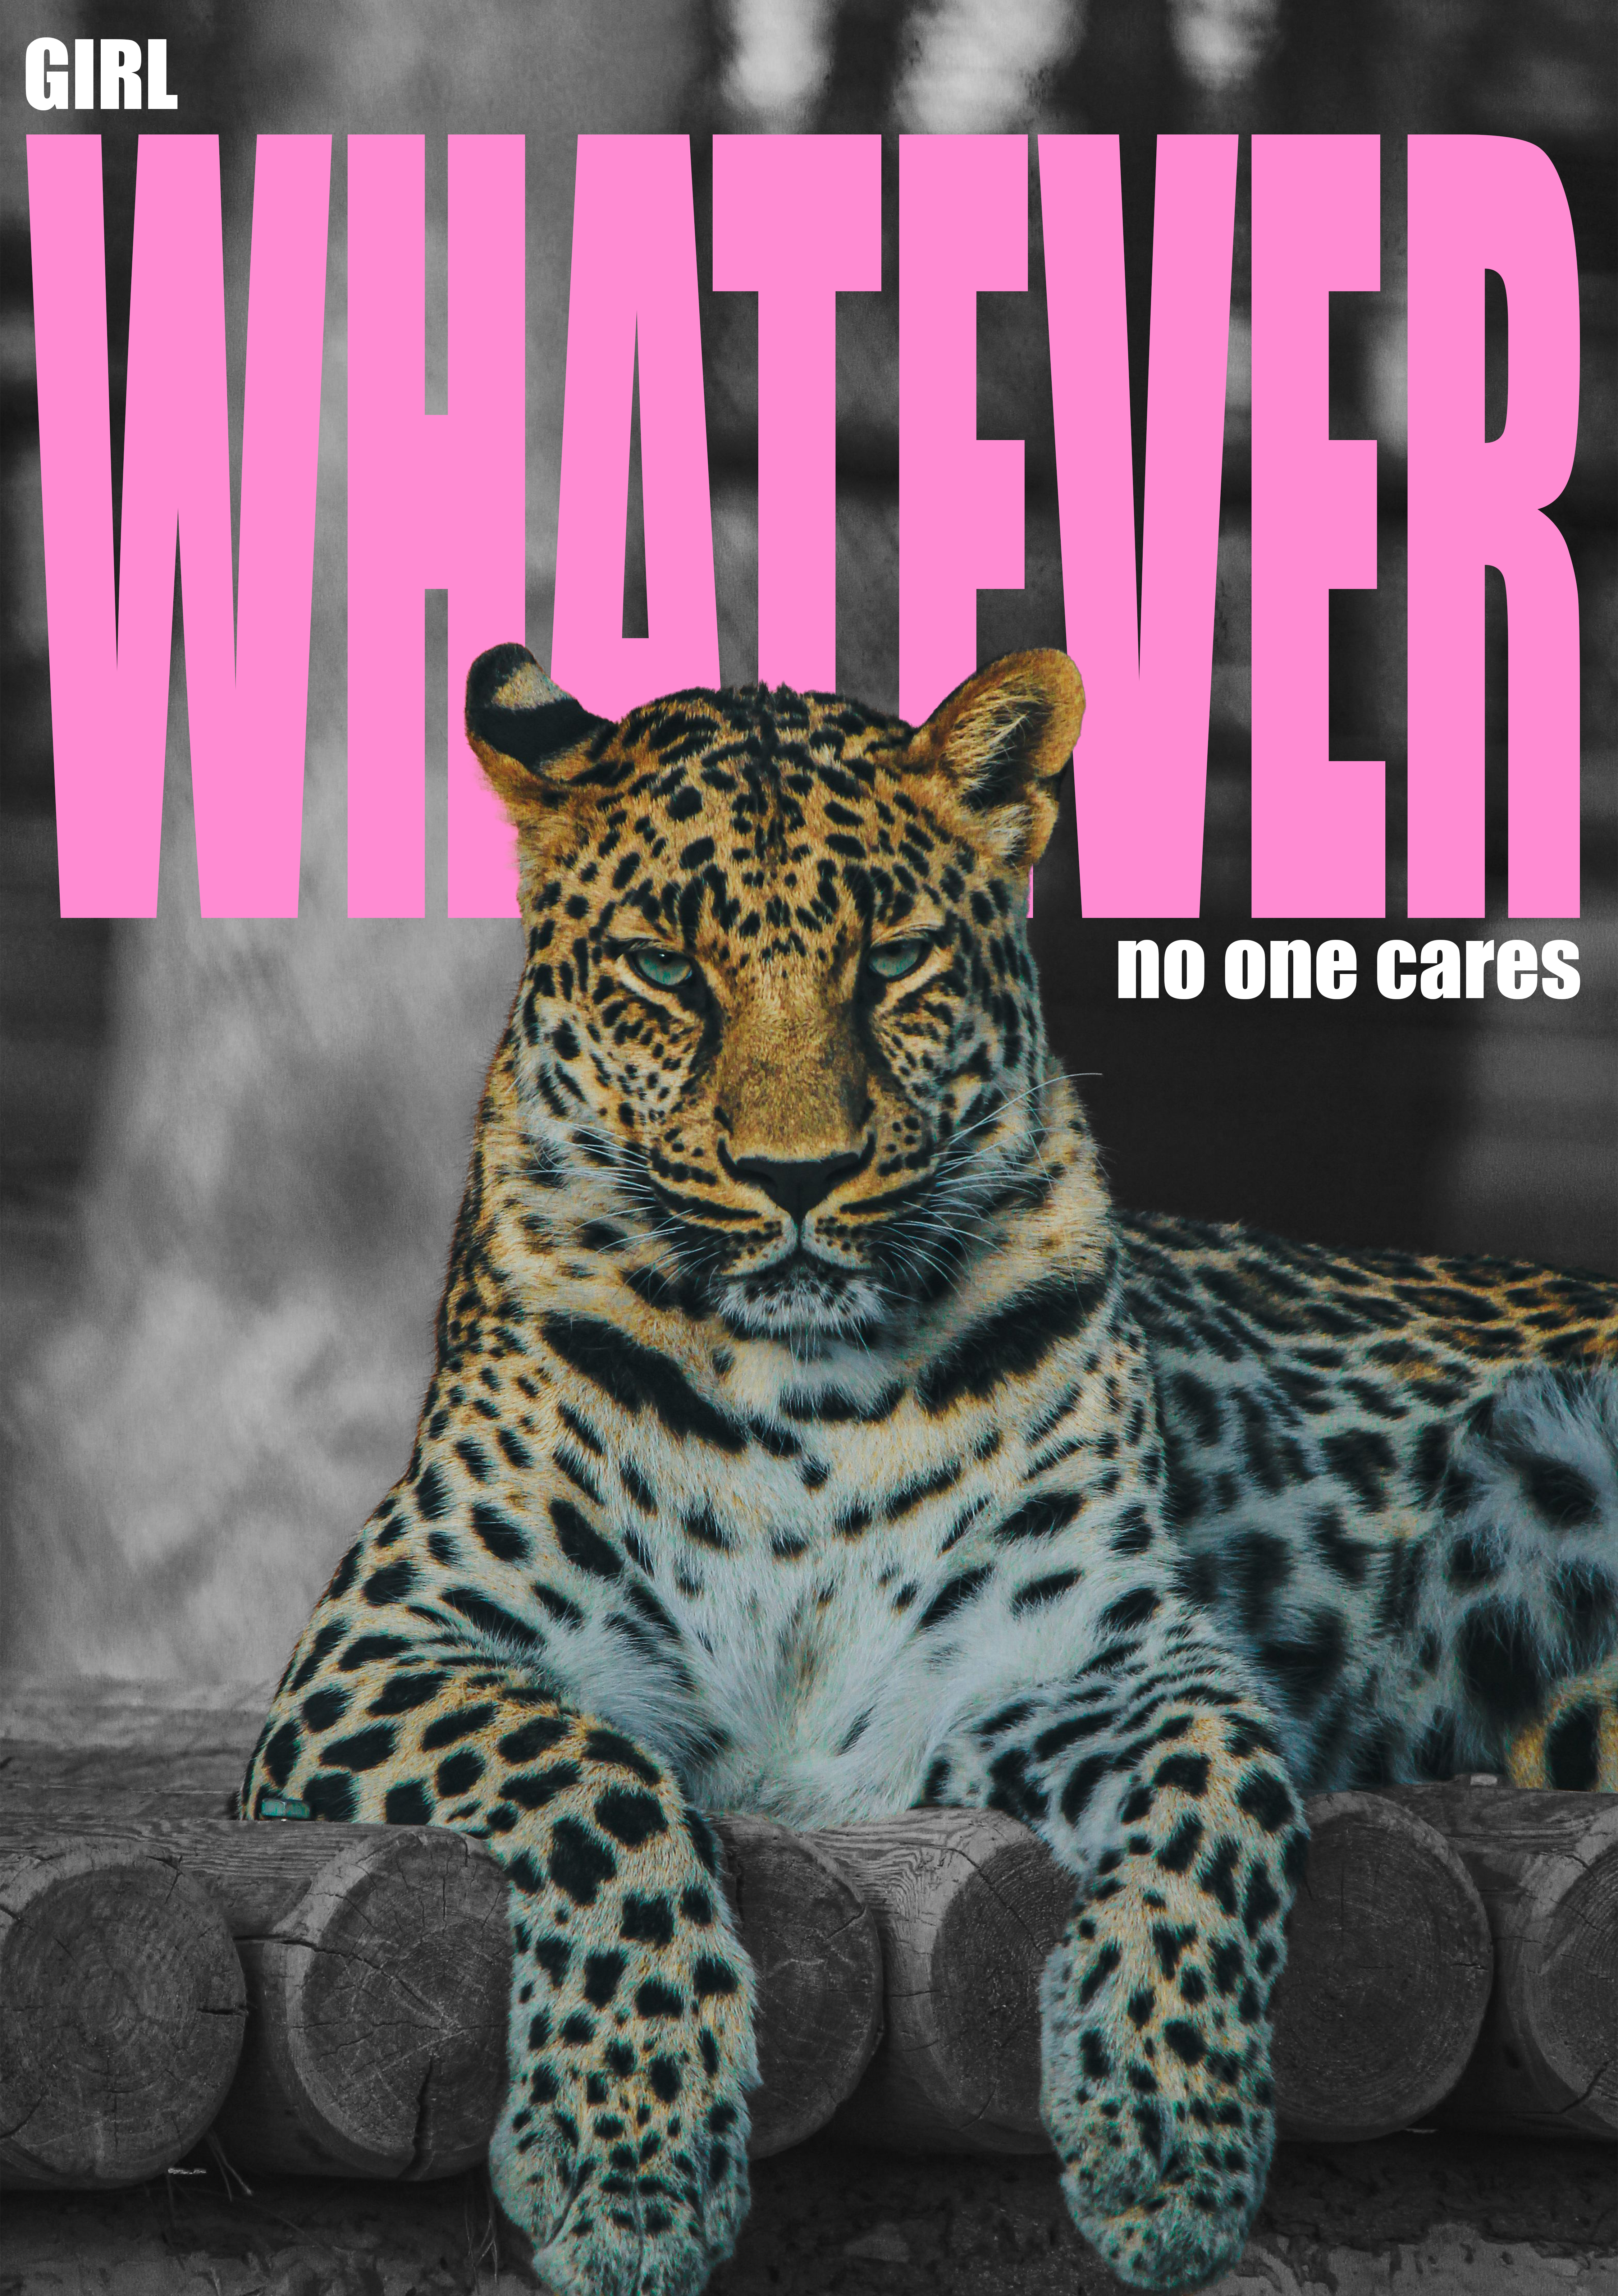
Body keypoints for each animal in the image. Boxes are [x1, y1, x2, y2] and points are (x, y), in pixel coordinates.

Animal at [241, 642, 1618, 2296]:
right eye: (667, 968)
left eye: (891, 960)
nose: (797, 1178)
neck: (796, 1407)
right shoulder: (385, 1649)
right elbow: (595, 1783)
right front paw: (629, 2161)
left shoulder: (1092, 1658)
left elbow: (1215, 1811)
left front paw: (1169, 2142)